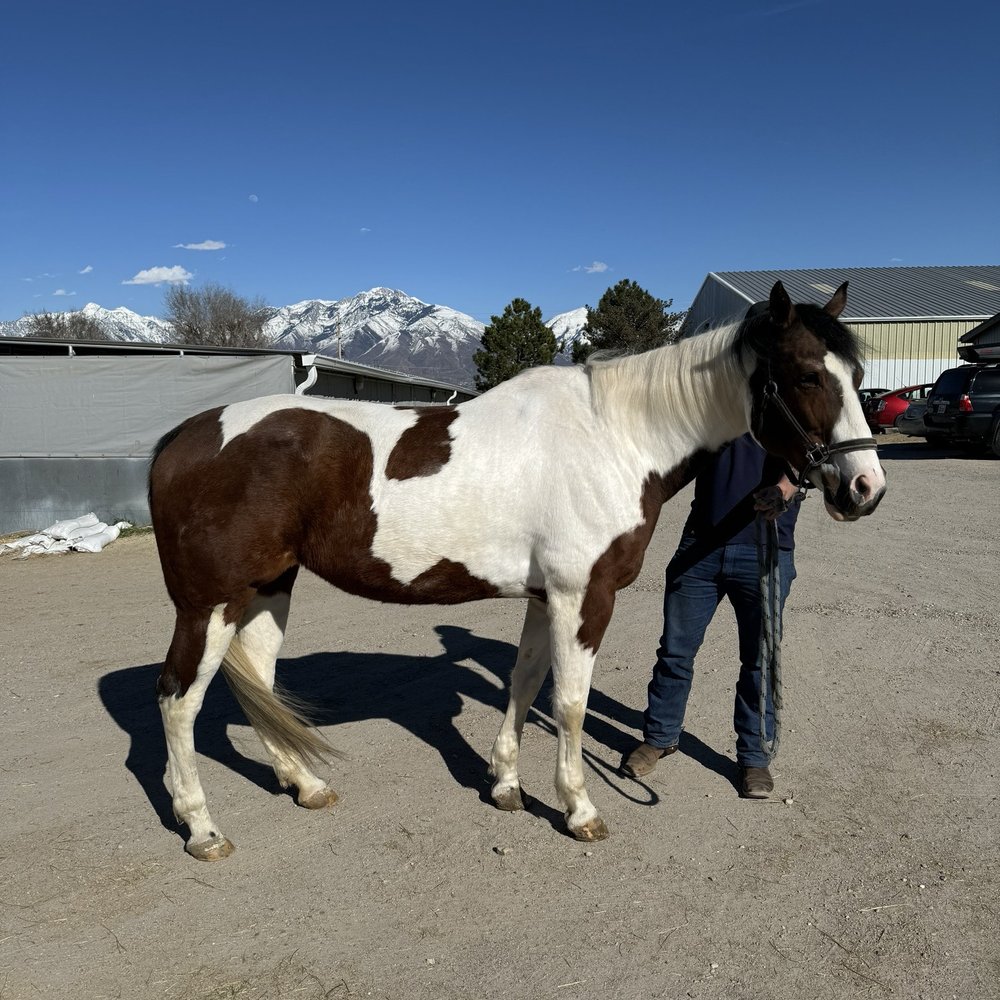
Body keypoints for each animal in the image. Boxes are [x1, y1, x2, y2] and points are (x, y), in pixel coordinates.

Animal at [147, 280, 885, 860]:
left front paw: (505, 784)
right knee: (179, 700)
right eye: (806, 374)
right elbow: (570, 703)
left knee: (258, 681)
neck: (616, 437)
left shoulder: (544, 595)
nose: (864, 489)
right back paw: (202, 829)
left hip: (267, 588)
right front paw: (580, 810)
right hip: (209, 603)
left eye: (858, 379)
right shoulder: (583, 596)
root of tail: (181, 438)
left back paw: (305, 785)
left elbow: (525, 682)